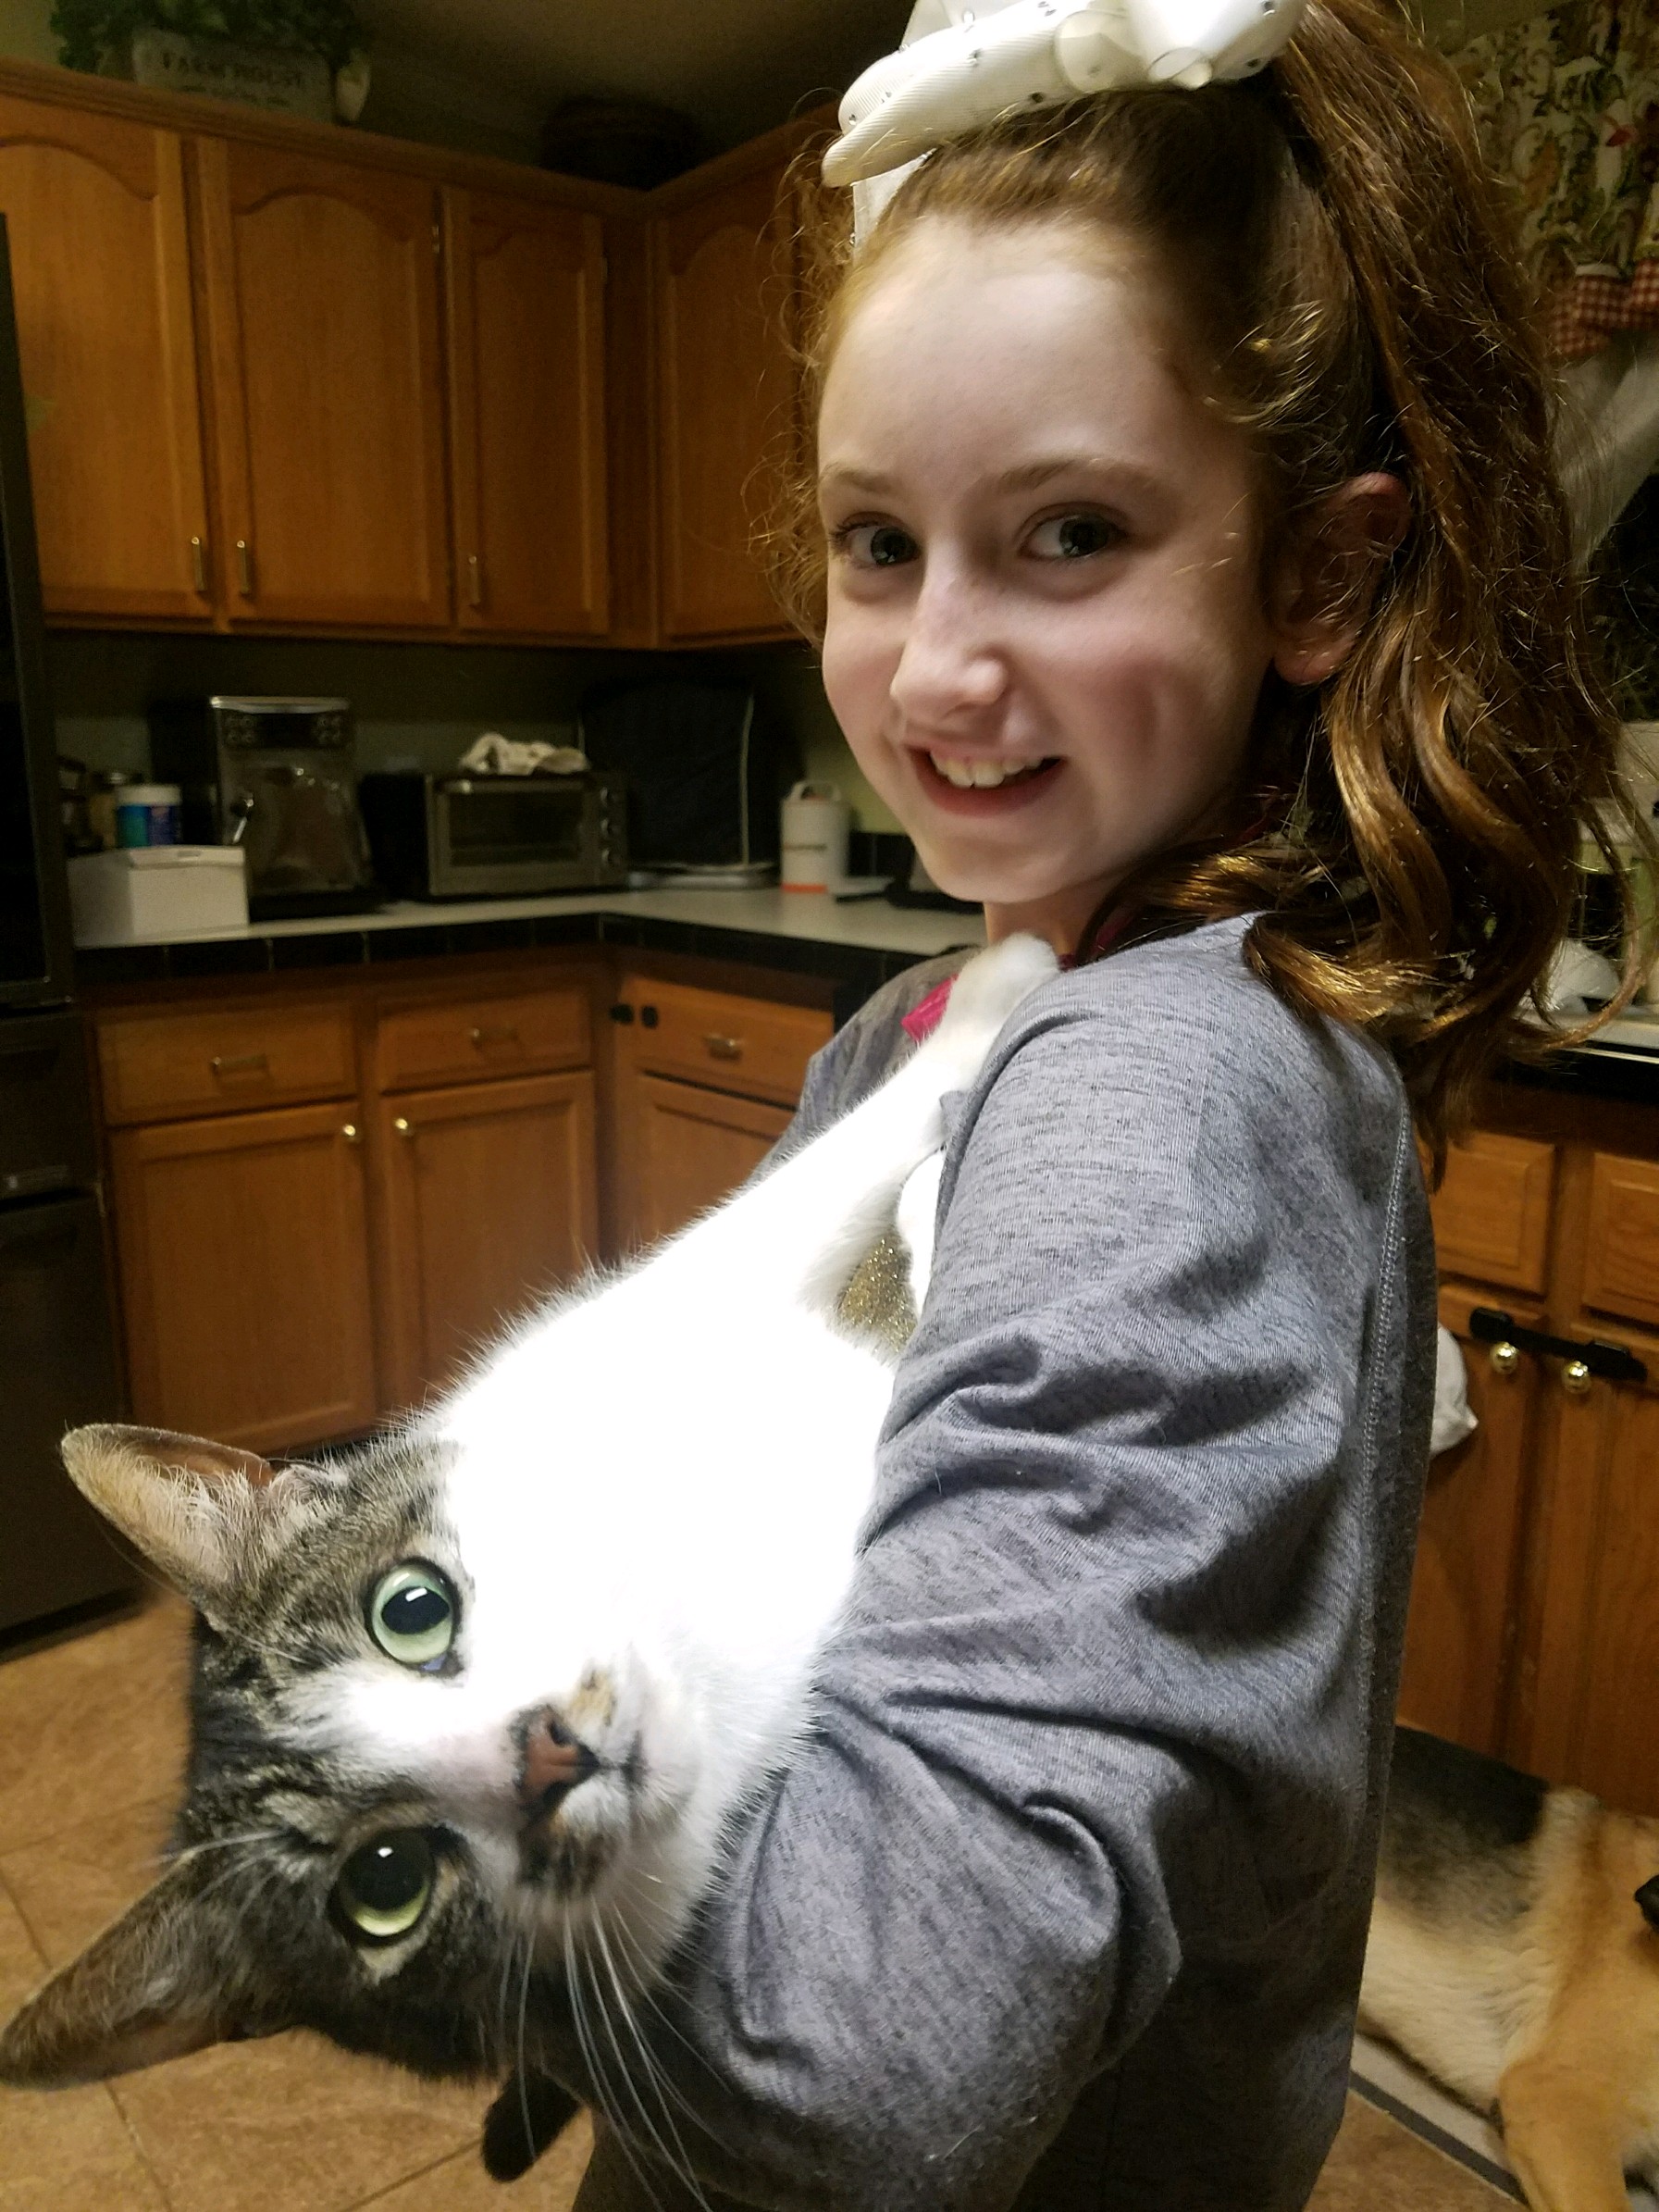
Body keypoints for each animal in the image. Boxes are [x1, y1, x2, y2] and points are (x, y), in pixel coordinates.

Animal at [0, 930, 1058, 2184]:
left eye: (410, 1608)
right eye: (385, 1885)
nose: (550, 1750)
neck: (694, 1632)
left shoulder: (651, 1316)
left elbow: (832, 1185)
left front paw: (996, 974)